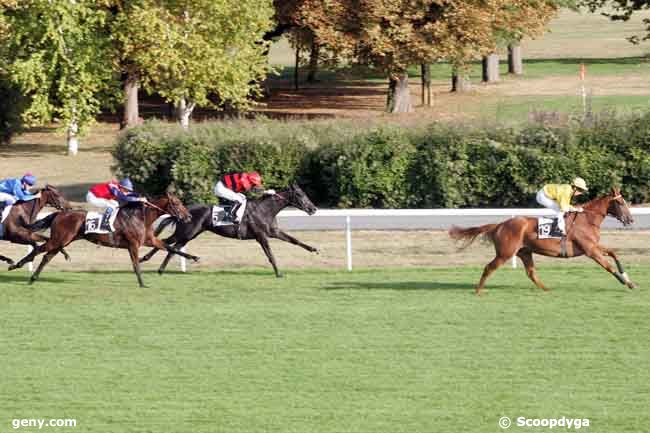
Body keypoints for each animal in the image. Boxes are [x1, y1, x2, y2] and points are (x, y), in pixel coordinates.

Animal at [11, 193, 192, 286]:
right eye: (177, 203)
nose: (189, 216)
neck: (140, 216)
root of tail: (59, 214)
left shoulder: (149, 240)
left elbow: (170, 247)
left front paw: (193, 257)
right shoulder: (133, 245)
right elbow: (136, 265)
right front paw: (142, 283)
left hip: (62, 241)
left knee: (46, 257)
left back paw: (33, 278)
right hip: (59, 240)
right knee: (38, 249)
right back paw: (16, 265)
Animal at [140, 182, 318, 276]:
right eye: (301, 195)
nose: (313, 209)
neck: (264, 209)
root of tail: (184, 212)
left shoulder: (273, 232)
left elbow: (294, 240)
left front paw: (314, 249)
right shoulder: (261, 235)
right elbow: (270, 254)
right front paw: (278, 272)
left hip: (190, 234)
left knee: (171, 246)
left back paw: (159, 268)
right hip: (187, 232)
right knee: (167, 242)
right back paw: (147, 260)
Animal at [448, 186, 632, 294]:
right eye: (621, 203)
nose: (630, 220)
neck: (586, 220)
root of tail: (500, 224)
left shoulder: (593, 246)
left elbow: (613, 253)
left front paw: (627, 277)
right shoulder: (590, 250)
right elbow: (607, 266)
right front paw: (626, 282)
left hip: (524, 252)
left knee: (531, 273)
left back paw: (547, 289)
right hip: (505, 253)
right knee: (489, 267)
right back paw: (478, 291)